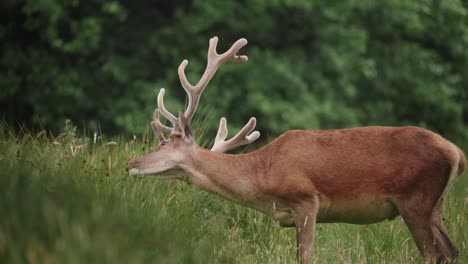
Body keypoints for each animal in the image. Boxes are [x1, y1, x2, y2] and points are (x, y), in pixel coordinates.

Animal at [124, 36, 464, 262]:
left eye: (163, 142)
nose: (129, 163)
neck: (263, 177)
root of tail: (457, 153)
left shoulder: (305, 199)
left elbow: (306, 256)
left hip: (415, 198)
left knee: (433, 253)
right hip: (435, 204)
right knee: (451, 250)